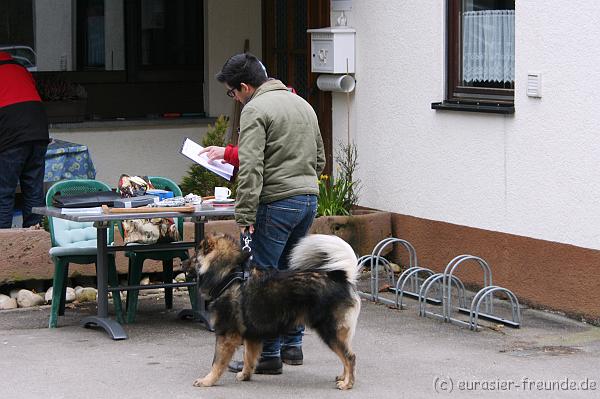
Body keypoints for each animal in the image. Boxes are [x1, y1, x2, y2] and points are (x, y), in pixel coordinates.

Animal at [192, 233, 360, 392]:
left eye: (196, 253)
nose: (186, 262)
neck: (229, 275)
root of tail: (343, 278)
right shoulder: (252, 335)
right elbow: (248, 357)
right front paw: (245, 375)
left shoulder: (226, 335)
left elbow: (217, 362)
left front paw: (207, 381)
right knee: (347, 354)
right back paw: (343, 377)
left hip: (330, 331)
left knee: (350, 357)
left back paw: (347, 383)